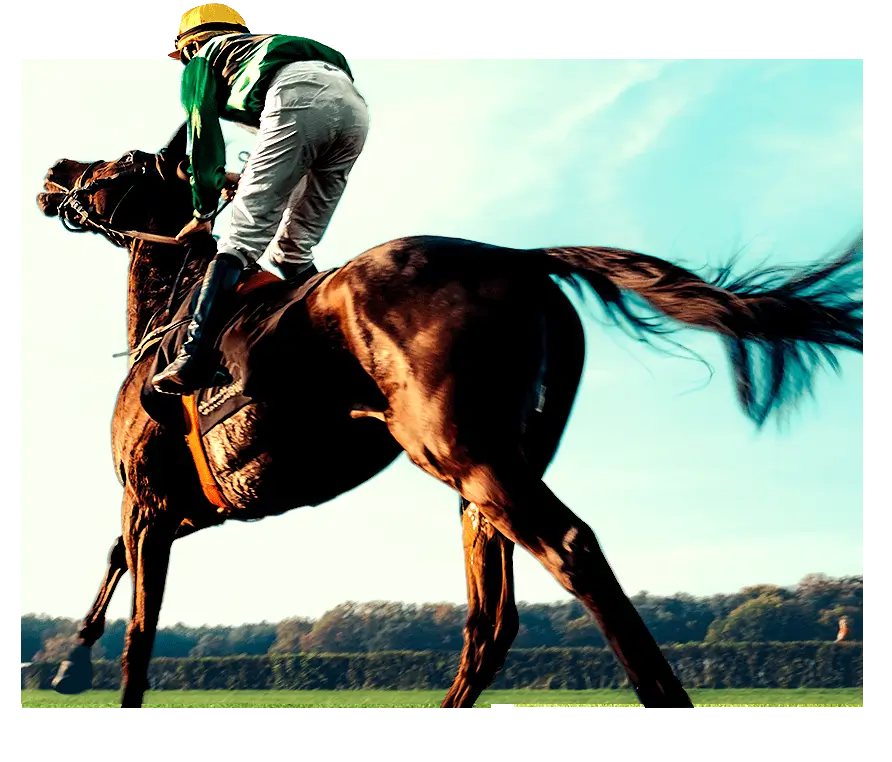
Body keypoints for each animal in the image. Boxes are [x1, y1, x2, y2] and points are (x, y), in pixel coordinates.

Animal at [35, 143, 863, 711]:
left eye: (115, 165)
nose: (53, 171)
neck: (175, 311)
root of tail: (523, 259)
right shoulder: (195, 508)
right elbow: (116, 560)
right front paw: (67, 662)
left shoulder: (150, 501)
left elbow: (140, 631)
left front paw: (83, 667)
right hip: (487, 477)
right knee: (489, 622)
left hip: (470, 459)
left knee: (571, 554)